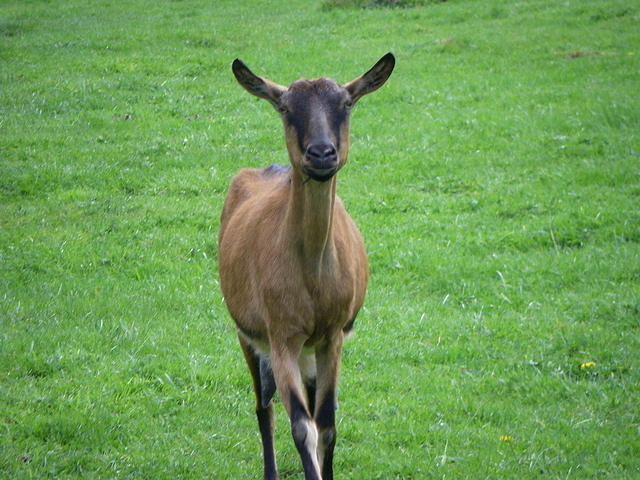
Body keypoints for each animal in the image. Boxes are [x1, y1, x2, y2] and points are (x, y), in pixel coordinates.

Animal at [218, 53, 395, 480]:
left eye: (346, 103)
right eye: (285, 108)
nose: (321, 154)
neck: (312, 277)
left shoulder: (332, 335)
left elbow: (326, 424)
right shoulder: (281, 334)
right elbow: (302, 427)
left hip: (310, 350)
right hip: (249, 336)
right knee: (263, 406)